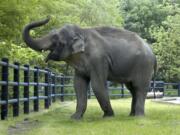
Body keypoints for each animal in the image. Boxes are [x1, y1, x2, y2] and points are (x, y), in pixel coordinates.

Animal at [23, 16, 157, 119]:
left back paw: (139, 117)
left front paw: (108, 116)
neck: (81, 31)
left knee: (140, 87)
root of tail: (153, 53)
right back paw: (131, 115)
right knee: (132, 88)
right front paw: (75, 118)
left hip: (144, 66)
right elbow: (78, 85)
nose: (48, 17)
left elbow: (97, 85)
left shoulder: (99, 59)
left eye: (58, 41)